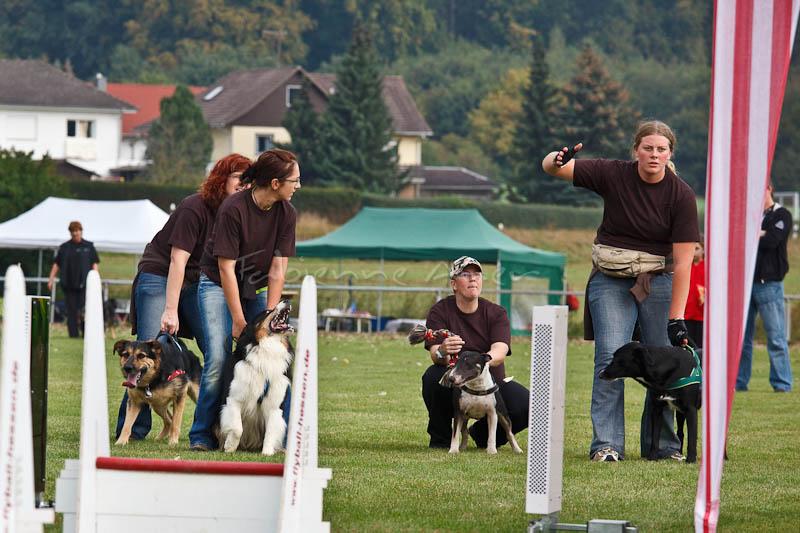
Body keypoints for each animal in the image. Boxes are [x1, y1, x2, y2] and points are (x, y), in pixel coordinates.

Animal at [216, 300, 294, 454]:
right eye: (267, 312)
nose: (287, 301)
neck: (268, 347)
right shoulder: (233, 398)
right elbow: (237, 428)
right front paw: (230, 447)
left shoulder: (275, 404)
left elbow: (271, 431)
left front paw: (267, 453)